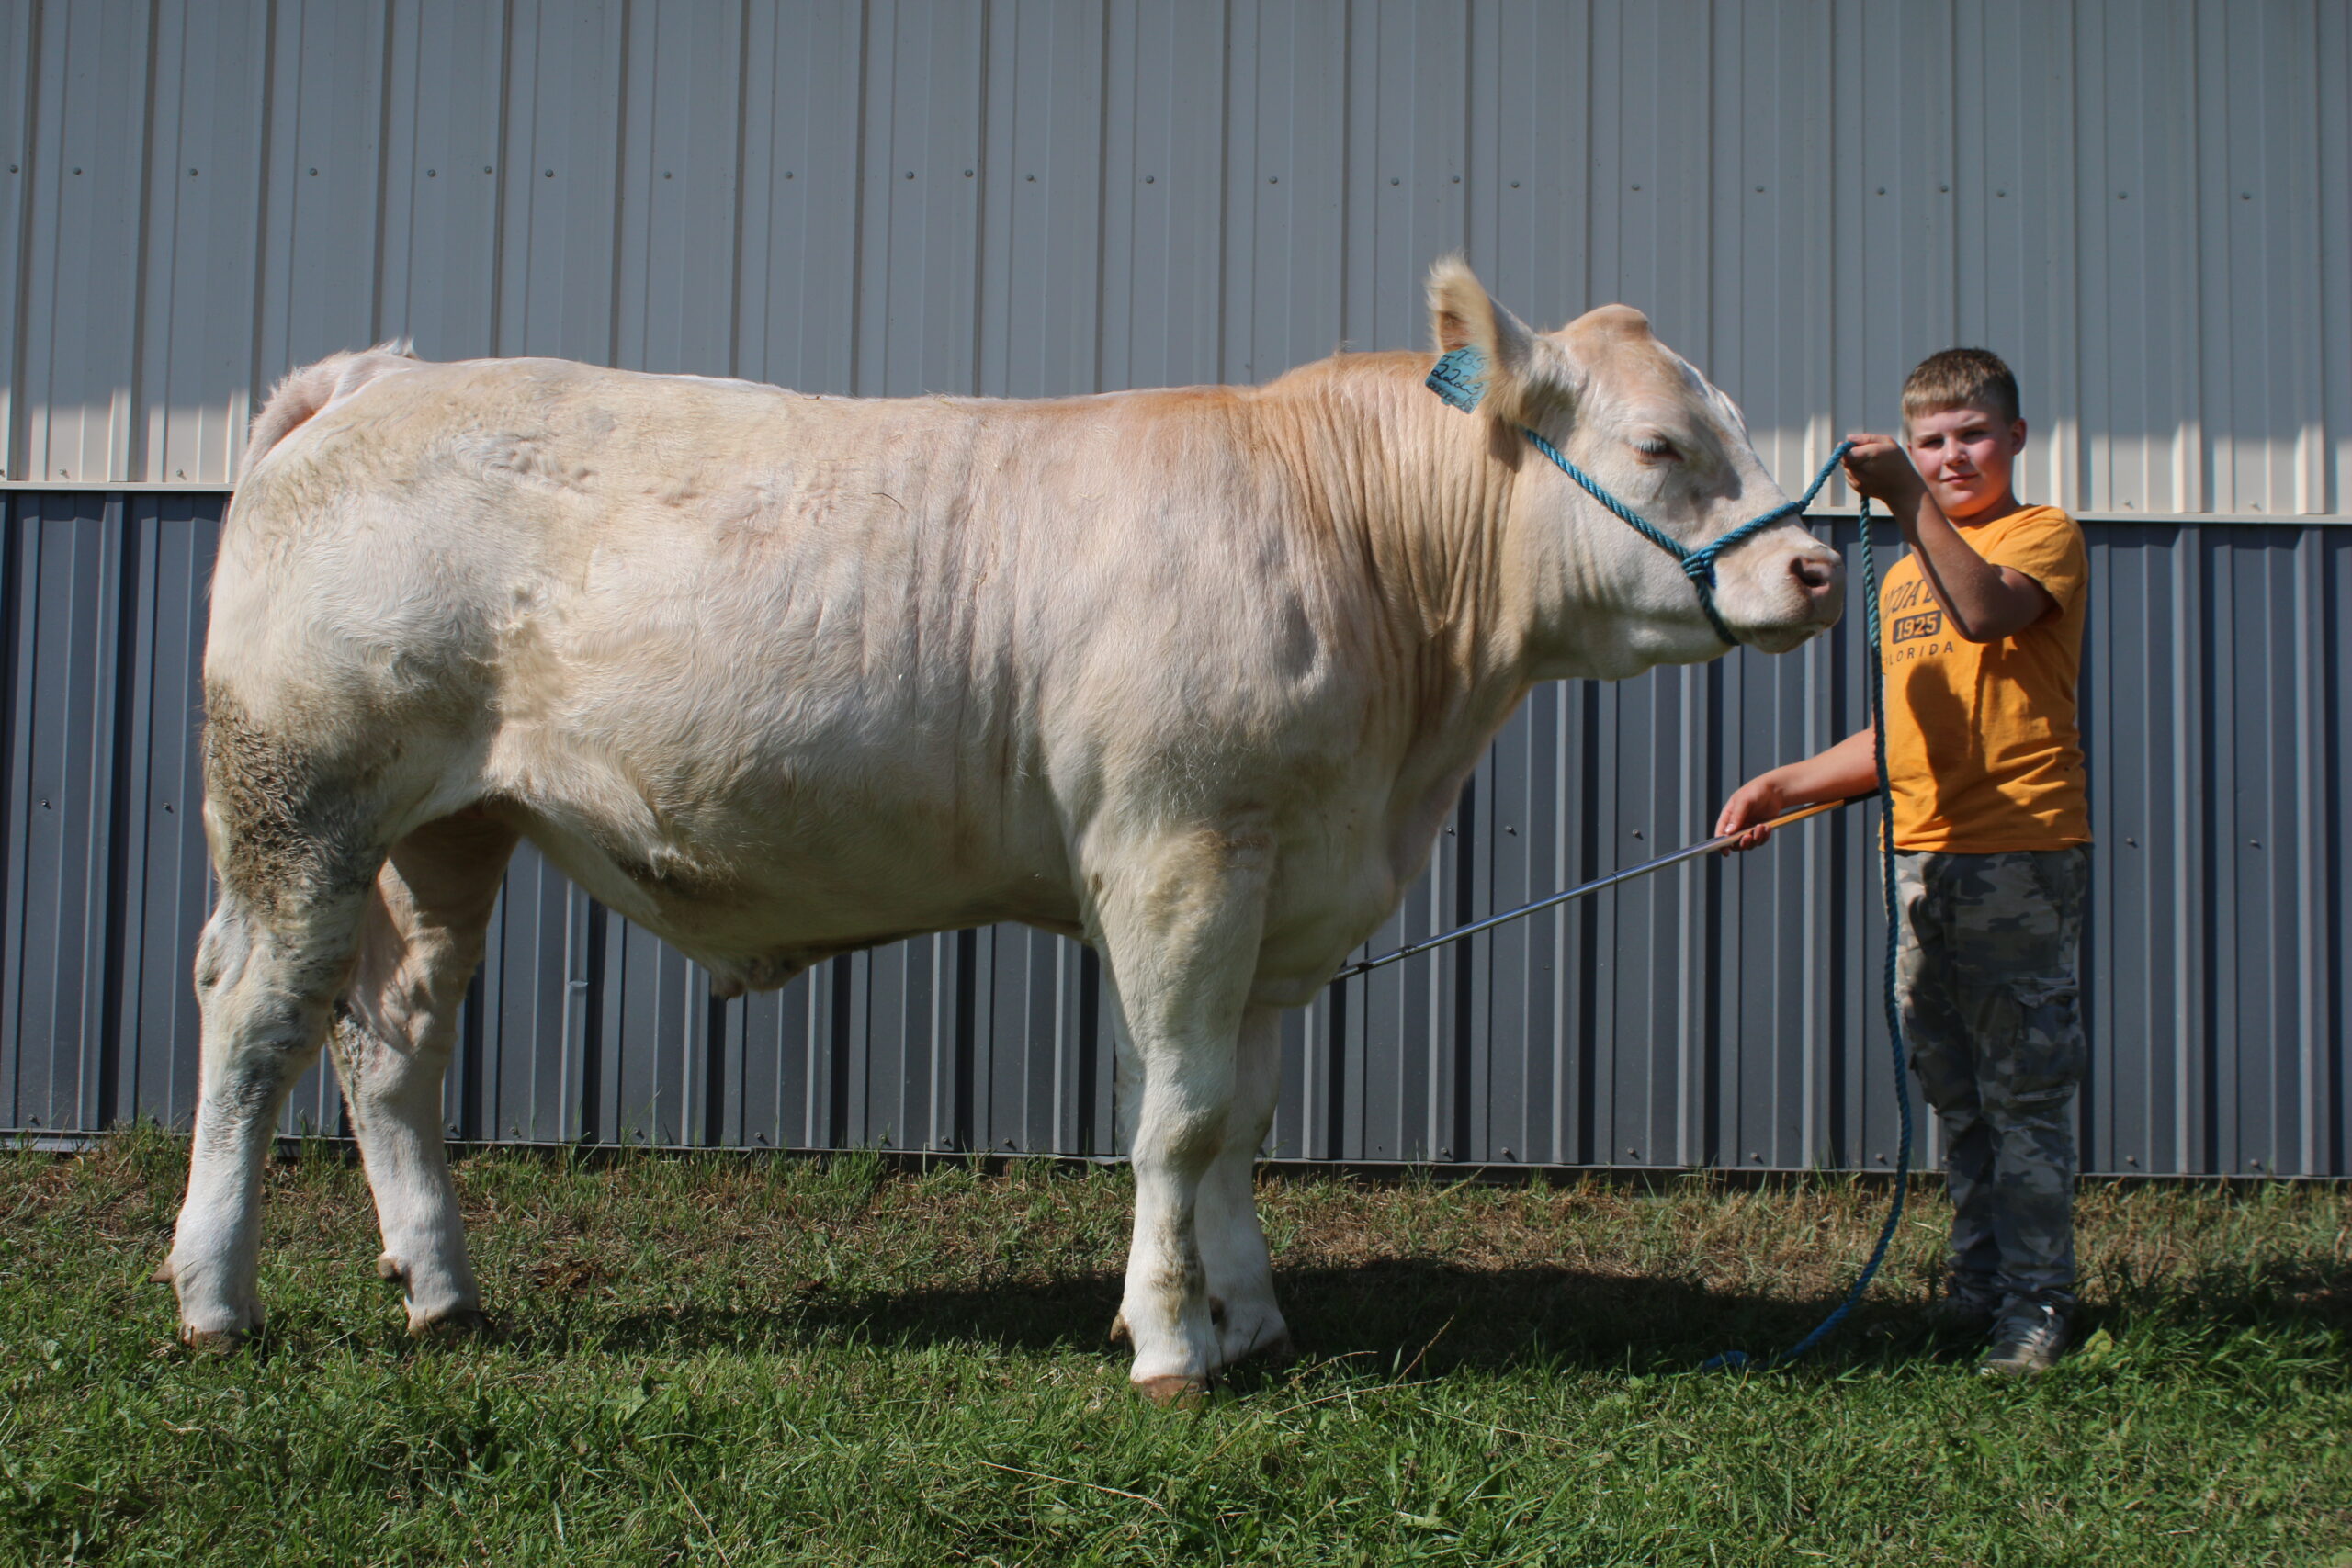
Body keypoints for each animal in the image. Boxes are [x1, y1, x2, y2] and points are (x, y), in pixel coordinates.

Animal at [158, 259, 1842, 1402]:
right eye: (1658, 447)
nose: (1820, 568)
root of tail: (375, 383)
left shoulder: (1282, 890)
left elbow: (1241, 1115)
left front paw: (1250, 1314)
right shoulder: (1175, 853)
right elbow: (1177, 1113)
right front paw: (1168, 1343)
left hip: (452, 830)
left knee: (393, 1037)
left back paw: (442, 1289)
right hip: (300, 800)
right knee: (255, 1018)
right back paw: (214, 1294)